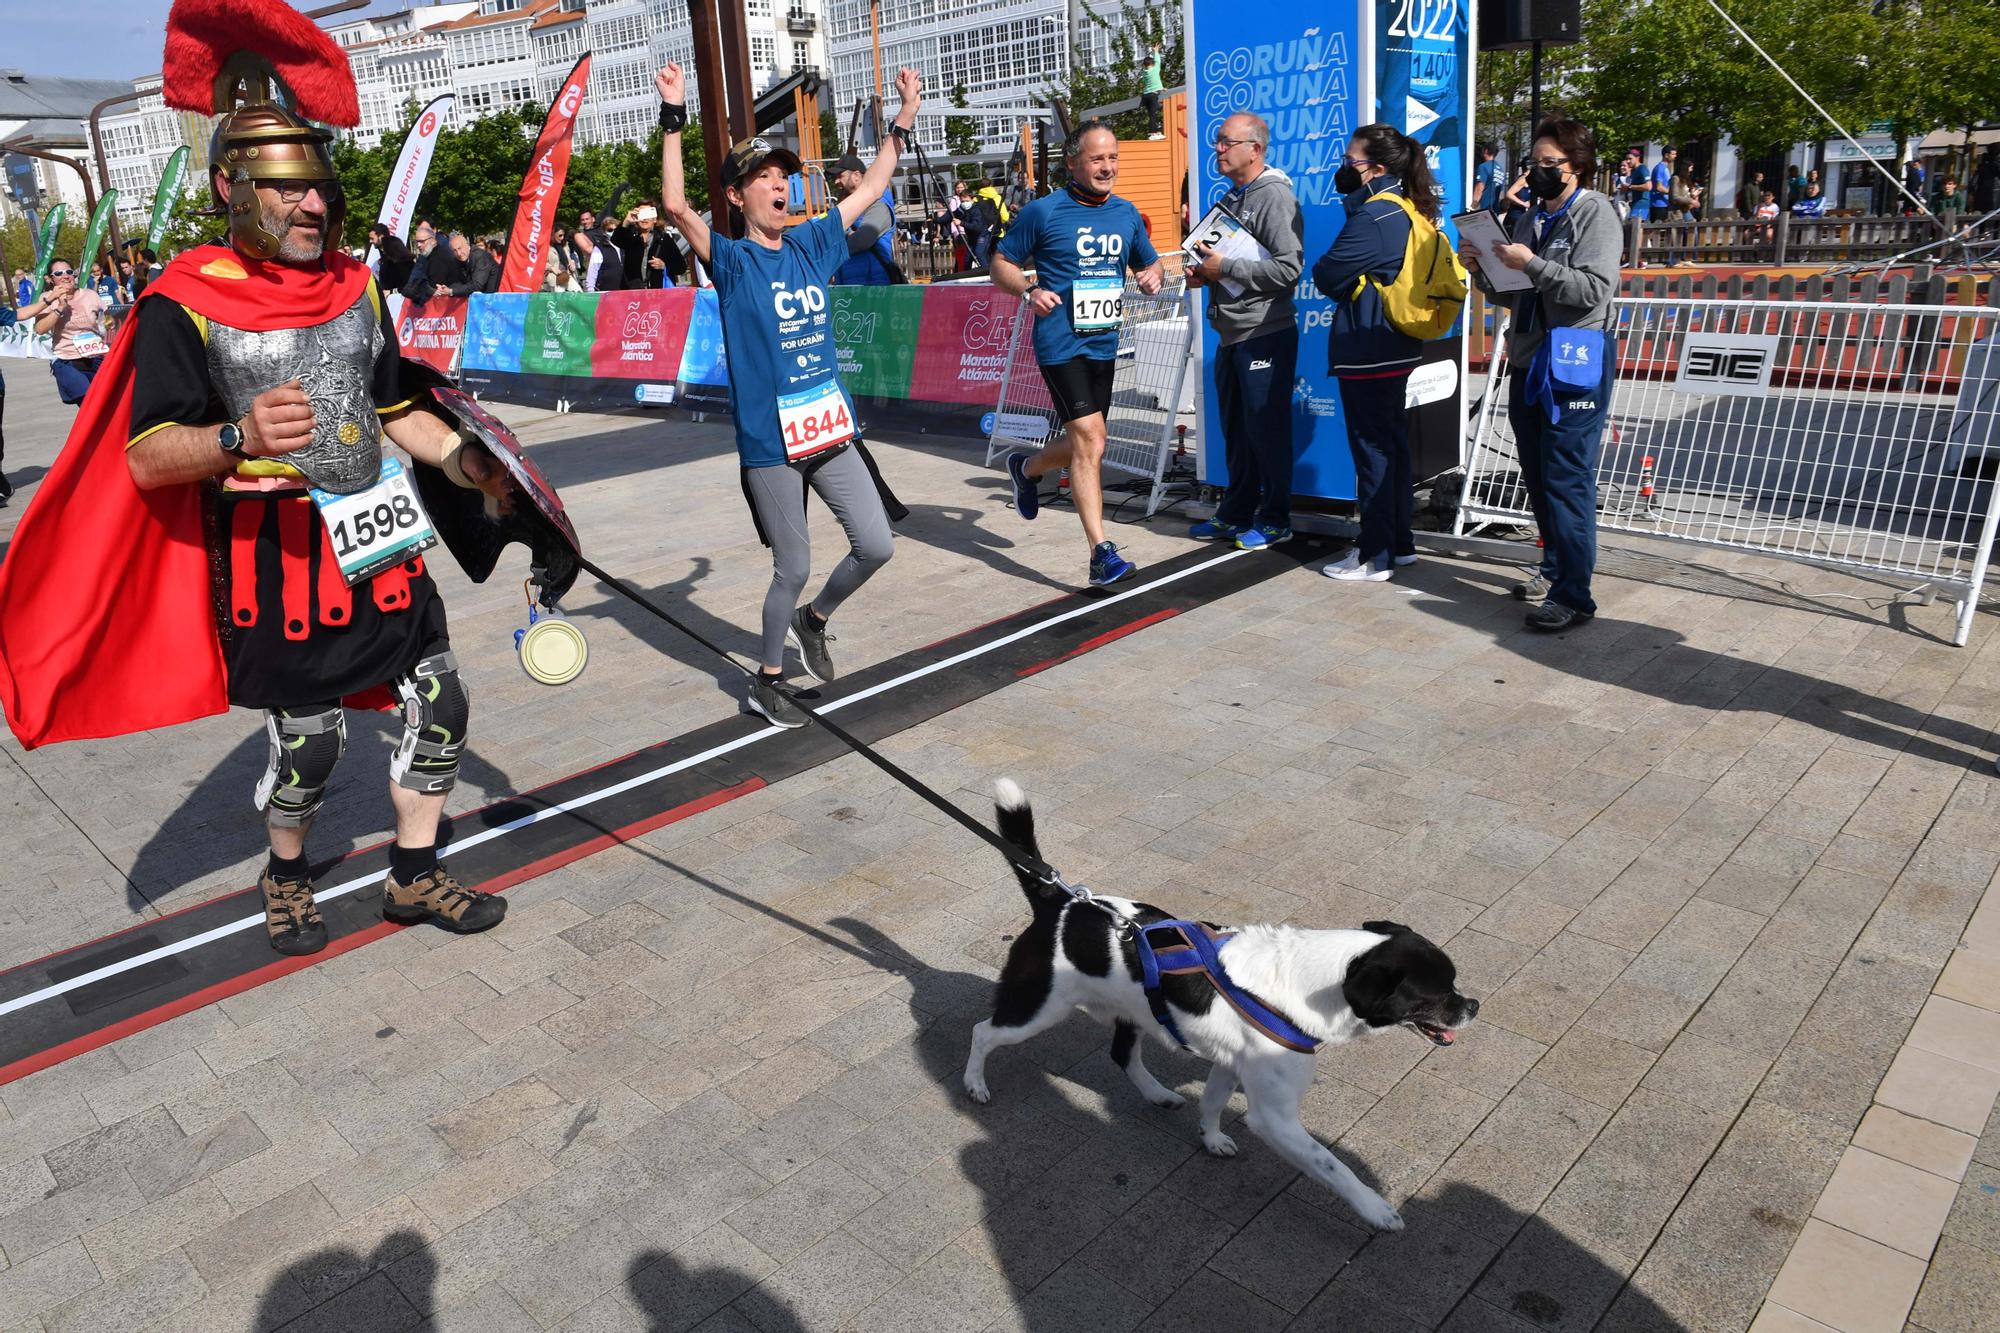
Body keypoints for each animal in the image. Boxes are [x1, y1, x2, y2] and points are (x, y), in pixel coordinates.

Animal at [960, 780, 1480, 1224]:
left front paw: (1210, 1139)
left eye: (1454, 985)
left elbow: (1210, 1104)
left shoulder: (1229, 1065)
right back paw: (975, 1084)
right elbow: (1334, 1165)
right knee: (983, 1032)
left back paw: (1158, 1094)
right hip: (1039, 1009)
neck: (1312, 980)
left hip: (1134, 1009)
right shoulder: (1275, 1116)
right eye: (1437, 993)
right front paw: (1375, 1208)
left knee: (1122, 1054)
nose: (1474, 1006)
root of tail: (1059, 903)